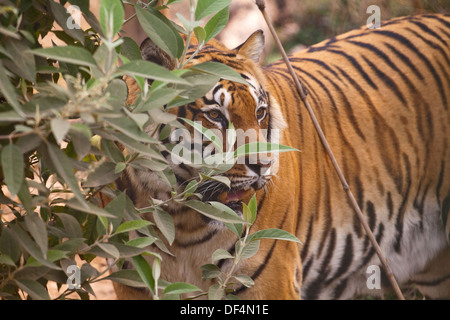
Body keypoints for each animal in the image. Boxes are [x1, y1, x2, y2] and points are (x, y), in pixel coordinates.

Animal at [110, 14, 450, 300]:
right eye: (215, 116)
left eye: (260, 113)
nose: (264, 166)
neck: (182, 222)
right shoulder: (133, 280)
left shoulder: (269, 279)